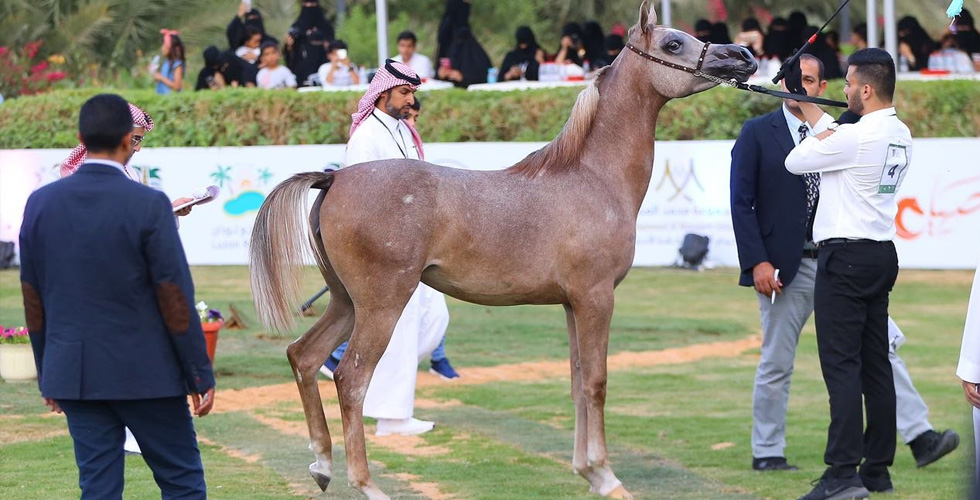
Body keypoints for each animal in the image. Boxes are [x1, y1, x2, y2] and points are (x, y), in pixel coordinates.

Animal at [251, 1, 756, 498]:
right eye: (673, 43)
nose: (744, 57)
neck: (592, 177)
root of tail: (335, 178)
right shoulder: (596, 299)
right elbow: (596, 383)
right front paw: (606, 476)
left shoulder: (572, 304)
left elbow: (576, 381)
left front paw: (587, 471)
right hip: (381, 305)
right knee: (351, 378)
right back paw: (367, 484)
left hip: (345, 302)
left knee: (305, 357)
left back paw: (321, 464)